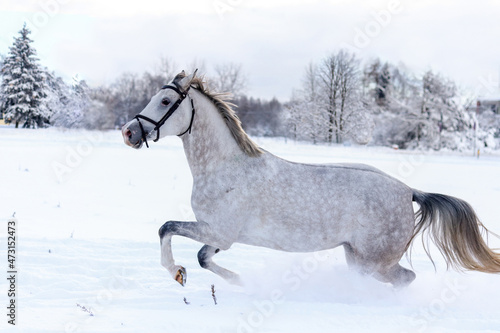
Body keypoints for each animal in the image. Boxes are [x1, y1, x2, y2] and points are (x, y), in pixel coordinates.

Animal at [121, 70, 500, 288]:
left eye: (165, 100)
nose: (128, 132)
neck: (225, 168)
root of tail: (409, 191)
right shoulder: (221, 236)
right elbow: (203, 257)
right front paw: (240, 283)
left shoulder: (219, 231)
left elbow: (167, 228)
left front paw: (176, 272)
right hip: (357, 257)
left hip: (374, 261)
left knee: (406, 279)